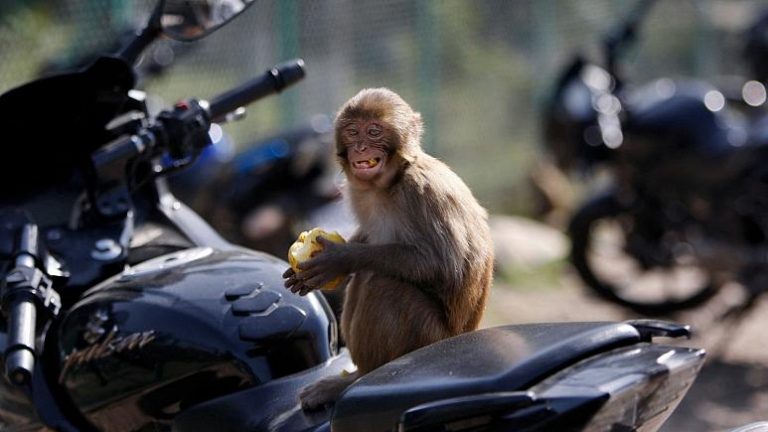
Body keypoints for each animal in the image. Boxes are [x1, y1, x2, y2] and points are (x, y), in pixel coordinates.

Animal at [282, 88, 492, 412]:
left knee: (383, 285)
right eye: (353, 132)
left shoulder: (422, 192)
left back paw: (355, 380)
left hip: (428, 337)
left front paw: (340, 260)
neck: (391, 182)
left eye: (374, 131)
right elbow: (368, 236)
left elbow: (446, 265)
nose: (360, 147)